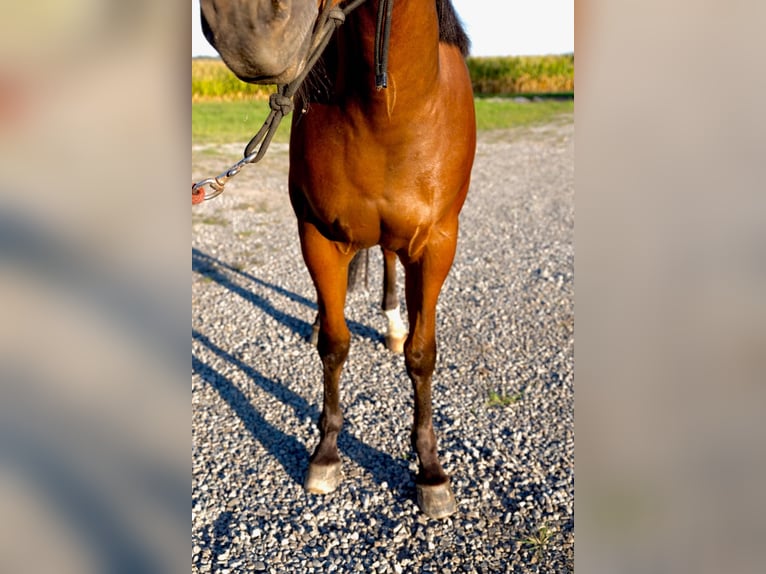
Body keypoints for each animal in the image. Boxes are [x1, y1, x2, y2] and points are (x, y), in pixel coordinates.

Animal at [199, 0, 476, 518]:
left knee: (387, 260)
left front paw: (430, 472)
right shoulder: (318, 237)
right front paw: (326, 455)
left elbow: (422, 354)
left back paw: (392, 324)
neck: (388, 112)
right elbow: (334, 344)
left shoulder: (436, 245)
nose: (245, 22)